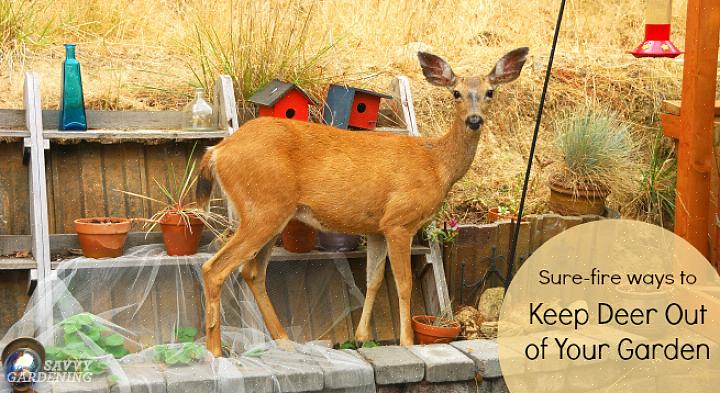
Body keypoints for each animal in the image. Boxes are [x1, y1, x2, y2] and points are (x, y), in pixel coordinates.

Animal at [197, 47, 528, 354]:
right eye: (456, 92)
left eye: (490, 91)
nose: (474, 120)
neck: (436, 163)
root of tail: (217, 152)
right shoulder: (399, 221)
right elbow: (403, 283)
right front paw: (407, 341)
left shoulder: (377, 228)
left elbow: (374, 280)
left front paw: (361, 336)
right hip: (263, 208)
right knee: (215, 268)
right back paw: (215, 351)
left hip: (272, 213)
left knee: (252, 272)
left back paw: (284, 341)